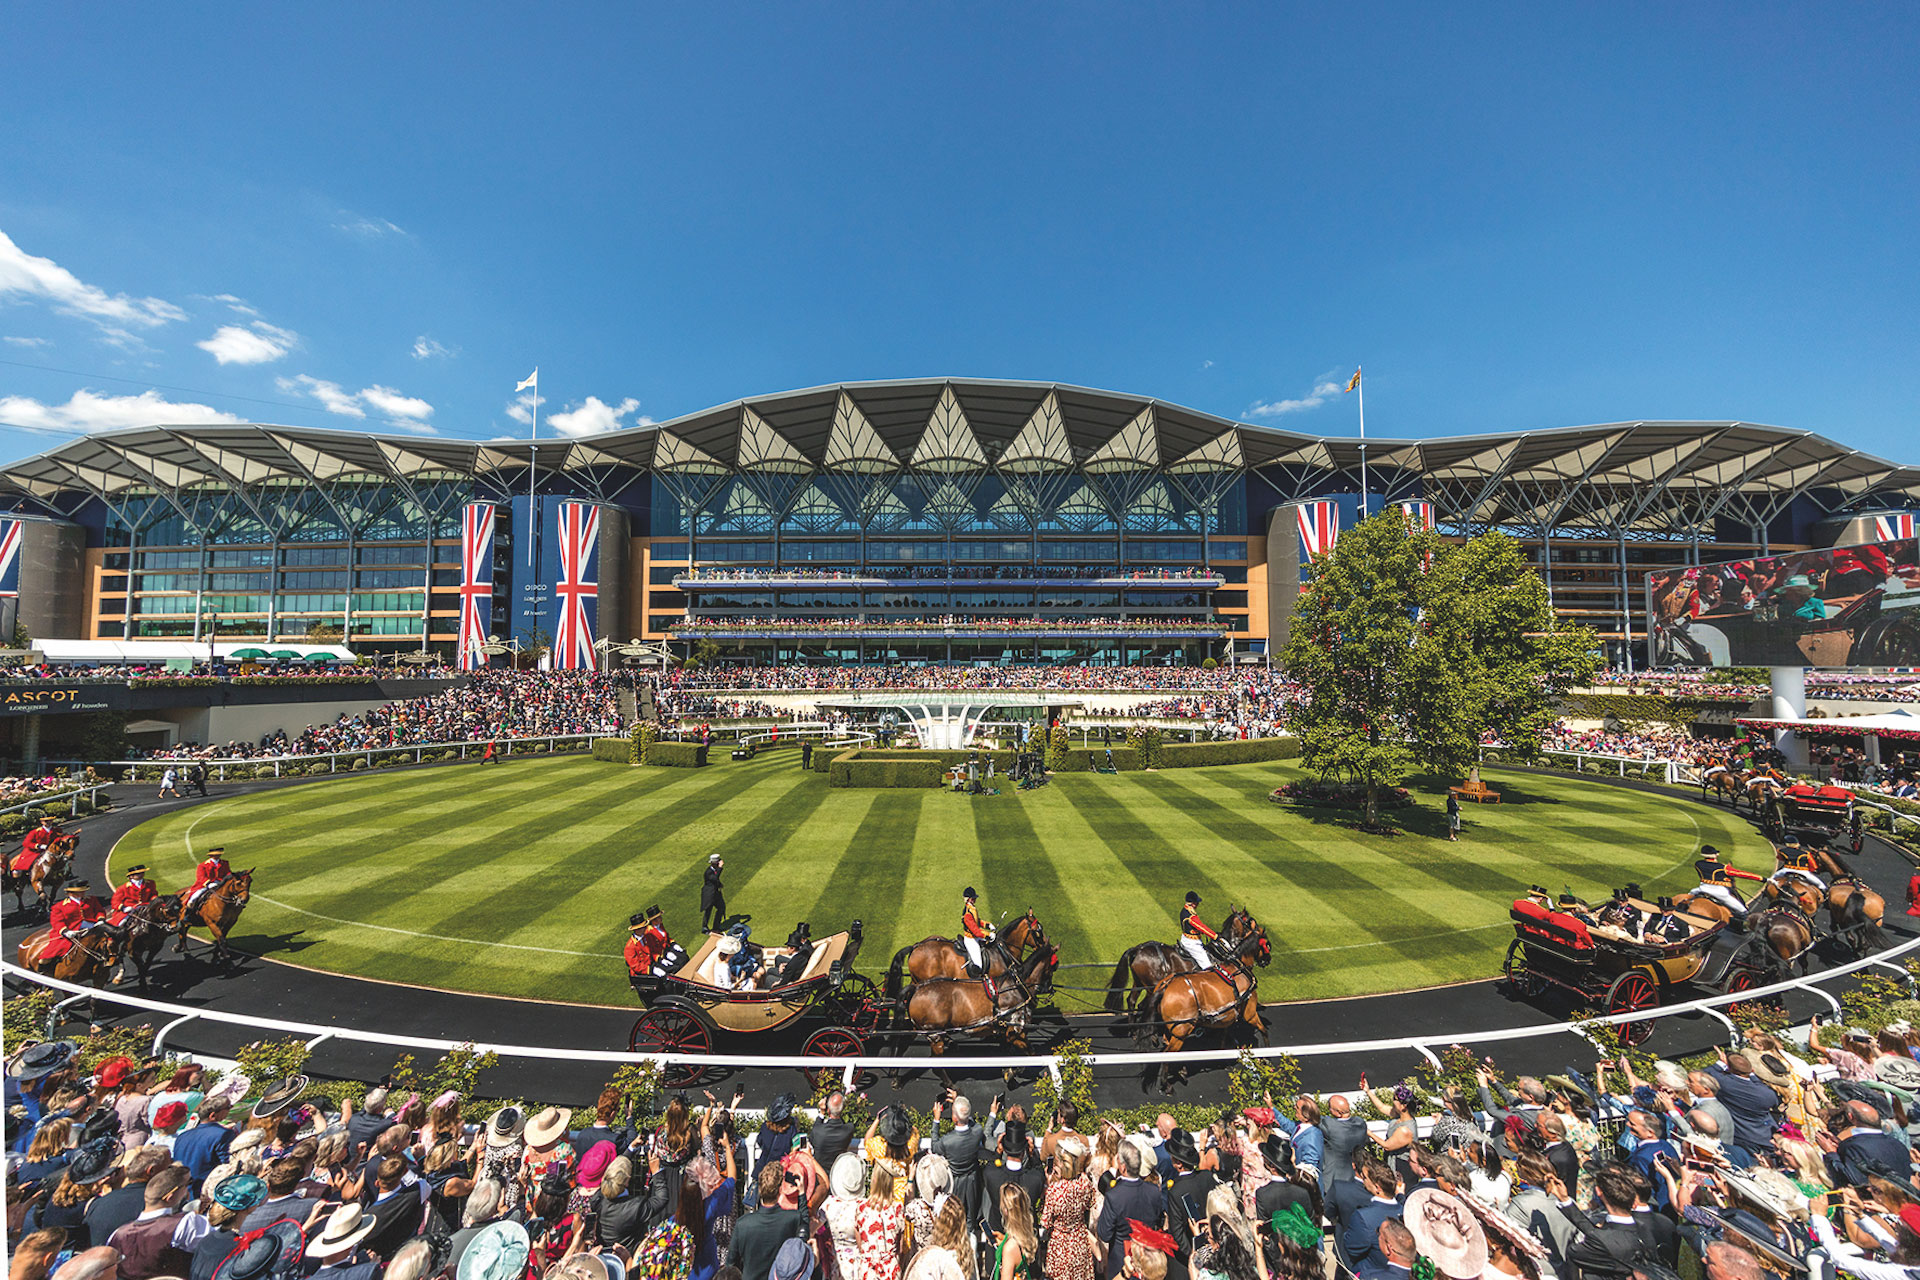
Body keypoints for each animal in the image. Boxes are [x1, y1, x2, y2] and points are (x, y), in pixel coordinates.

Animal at [1113, 909, 1259, 1013]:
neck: (1219, 951)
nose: (1259, 931)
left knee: (1131, 1001)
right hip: (1150, 987)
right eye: (1251, 921)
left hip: (1138, 982)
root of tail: (1138, 949)